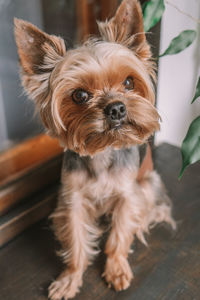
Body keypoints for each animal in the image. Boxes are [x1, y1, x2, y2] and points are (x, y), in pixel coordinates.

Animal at [14, 1, 176, 298]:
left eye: (128, 83)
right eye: (79, 95)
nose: (117, 108)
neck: (102, 151)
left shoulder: (127, 196)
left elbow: (119, 234)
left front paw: (116, 268)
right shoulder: (73, 200)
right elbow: (77, 243)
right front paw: (70, 278)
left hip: (147, 184)